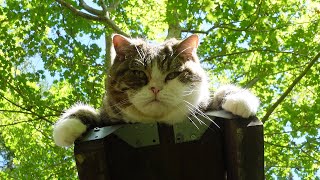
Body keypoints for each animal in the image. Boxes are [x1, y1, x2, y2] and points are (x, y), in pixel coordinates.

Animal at [52, 34, 258, 147]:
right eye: (138, 73)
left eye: (172, 74)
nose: (155, 88)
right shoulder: (109, 116)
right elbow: (92, 112)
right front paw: (66, 126)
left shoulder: (204, 105)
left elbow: (221, 93)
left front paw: (240, 100)